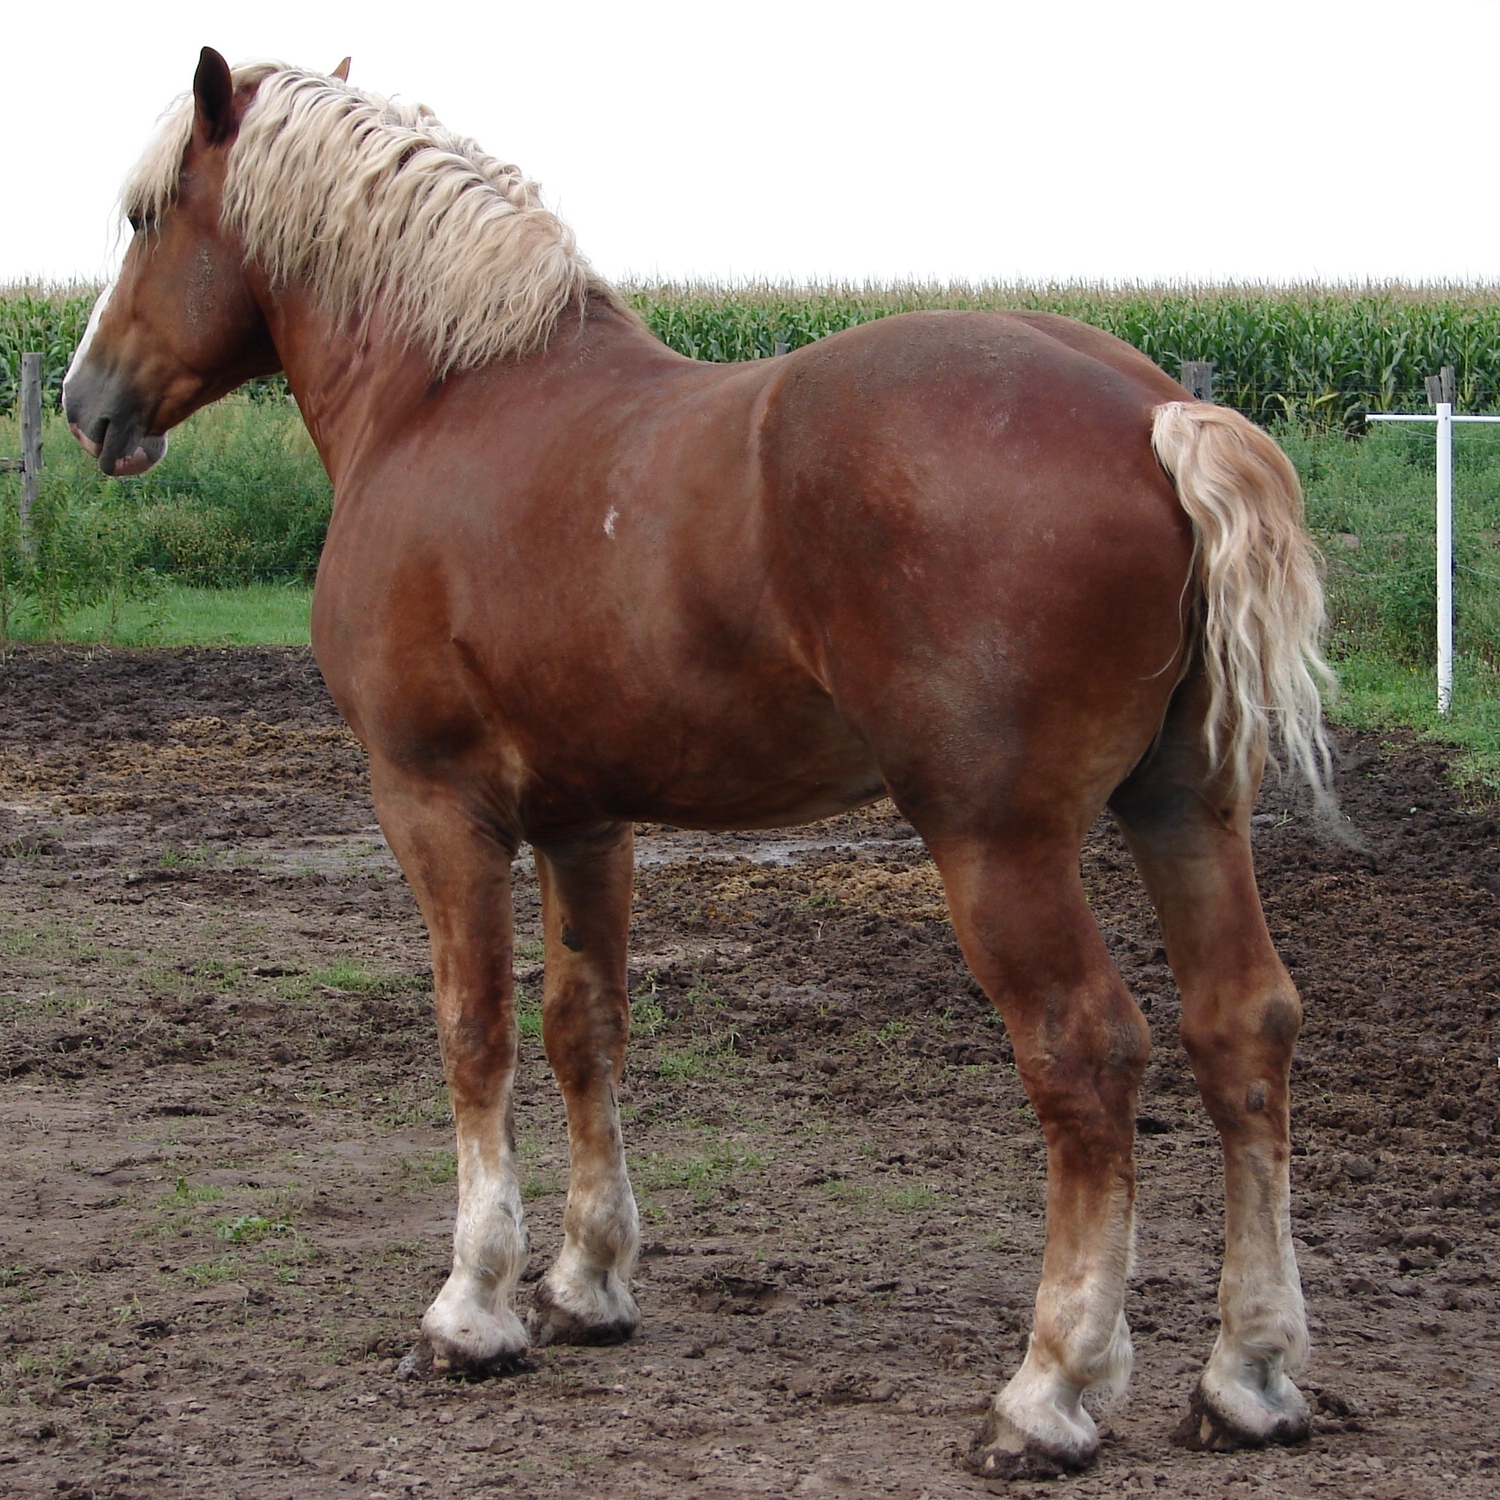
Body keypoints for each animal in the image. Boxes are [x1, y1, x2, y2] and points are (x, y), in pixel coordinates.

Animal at [67, 49, 1338, 1488]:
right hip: (1187, 810)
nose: (85, 403)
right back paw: (1248, 1379)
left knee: (1087, 1057)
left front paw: (473, 1309)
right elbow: (585, 1026)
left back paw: (1049, 1392)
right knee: (1244, 1028)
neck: (443, 399)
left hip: (998, 842)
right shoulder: (586, 821)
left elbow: (473, 1029)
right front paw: (587, 1283)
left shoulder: (434, 805)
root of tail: (1152, 411)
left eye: (145, 216)